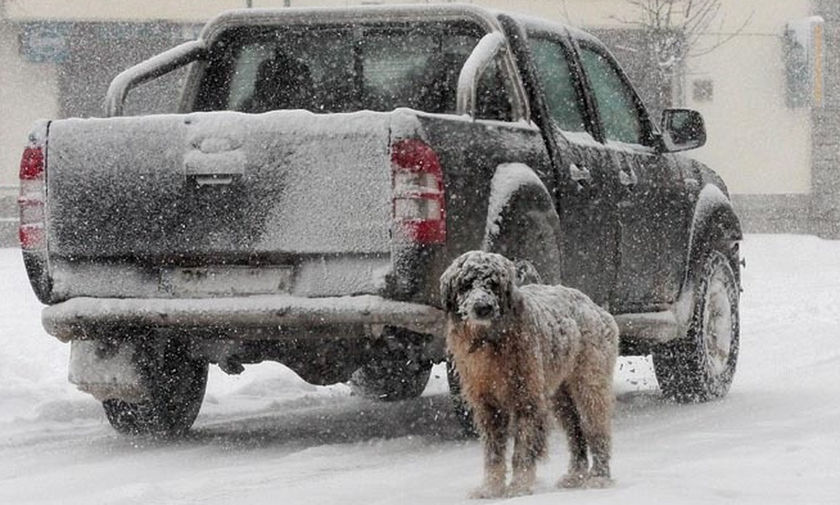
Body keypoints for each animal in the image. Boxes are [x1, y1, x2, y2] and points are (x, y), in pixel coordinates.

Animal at [442, 251, 620, 496]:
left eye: (493, 284)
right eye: (466, 284)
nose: (482, 307)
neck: (491, 341)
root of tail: (593, 305)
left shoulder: (526, 400)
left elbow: (523, 450)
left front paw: (518, 487)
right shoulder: (488, 406)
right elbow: (493, 453)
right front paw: (491, 488)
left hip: (590, 386)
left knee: (596, 429)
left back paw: (599, 477)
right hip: (560, 398)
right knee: (575, 432)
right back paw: (576, 475)